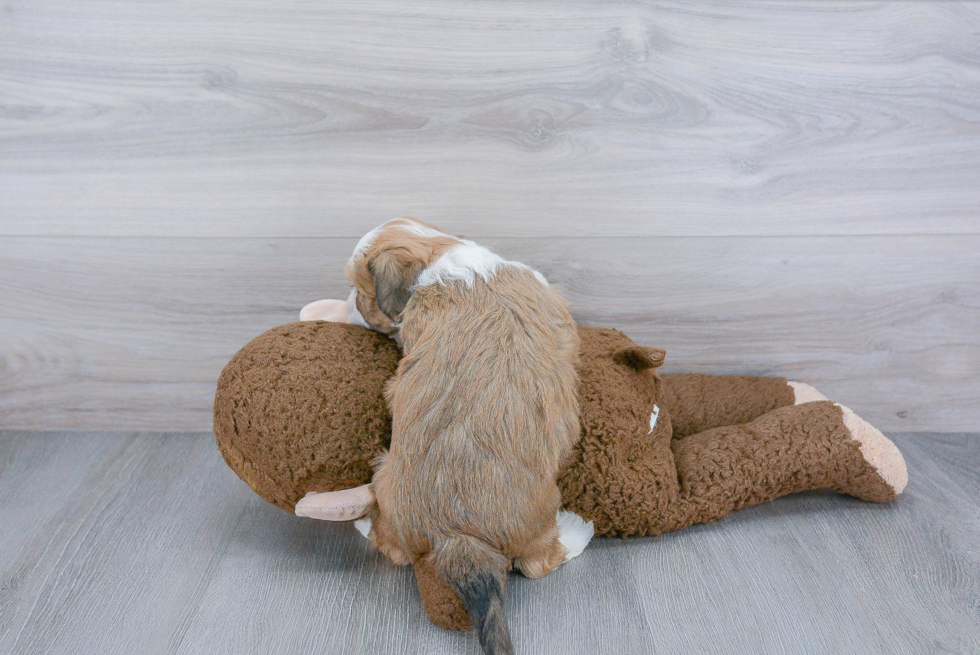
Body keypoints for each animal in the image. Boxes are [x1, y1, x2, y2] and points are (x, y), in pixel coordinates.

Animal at [344, 219, 588, 652]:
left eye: (362, 290)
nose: (351, 304)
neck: (441, 253)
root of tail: (457, 536)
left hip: (385, 476)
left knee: (392, 547)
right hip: (540, 517)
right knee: (539, 562)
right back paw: (577, 531)